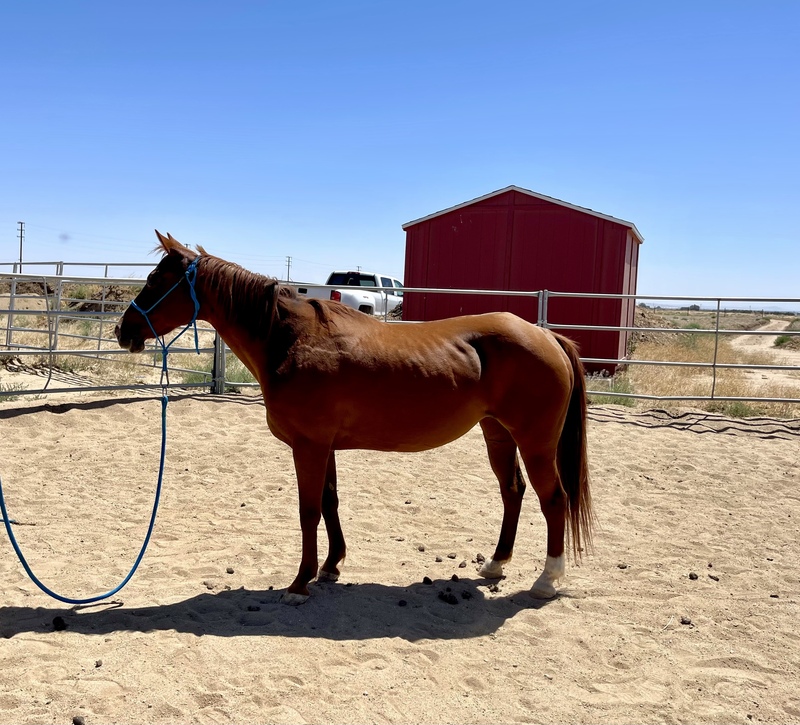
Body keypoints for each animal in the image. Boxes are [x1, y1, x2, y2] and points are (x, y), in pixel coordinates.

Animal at [119, 233, 592, 604]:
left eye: (157, 280)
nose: (124, 331)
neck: (290, 339)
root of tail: (546, 335)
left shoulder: (309, 446)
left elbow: (308, 510)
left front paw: (299, 583)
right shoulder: (323, 446)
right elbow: (330, 502)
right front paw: (330, 567)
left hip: (535, 441)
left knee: (553, 499)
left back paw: (546, 580)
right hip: (497, 433)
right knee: (513, 491)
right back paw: (495, 564)